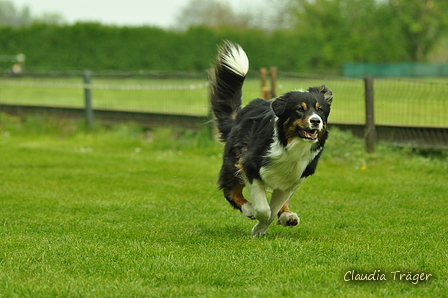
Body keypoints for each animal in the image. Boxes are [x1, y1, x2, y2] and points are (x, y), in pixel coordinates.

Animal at [208, 41, 330, 237]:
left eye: (320, 110)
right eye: (299, 109)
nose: (315, 121)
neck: (291, 145)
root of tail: (240, 114)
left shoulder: (293, 178)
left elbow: (273, 209)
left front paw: (263, 227)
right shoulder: (250, 165)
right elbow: (264, 209)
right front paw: (258, 223)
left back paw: (288, 216)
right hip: (233, 160)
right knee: (230, 190)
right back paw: (248, 209)